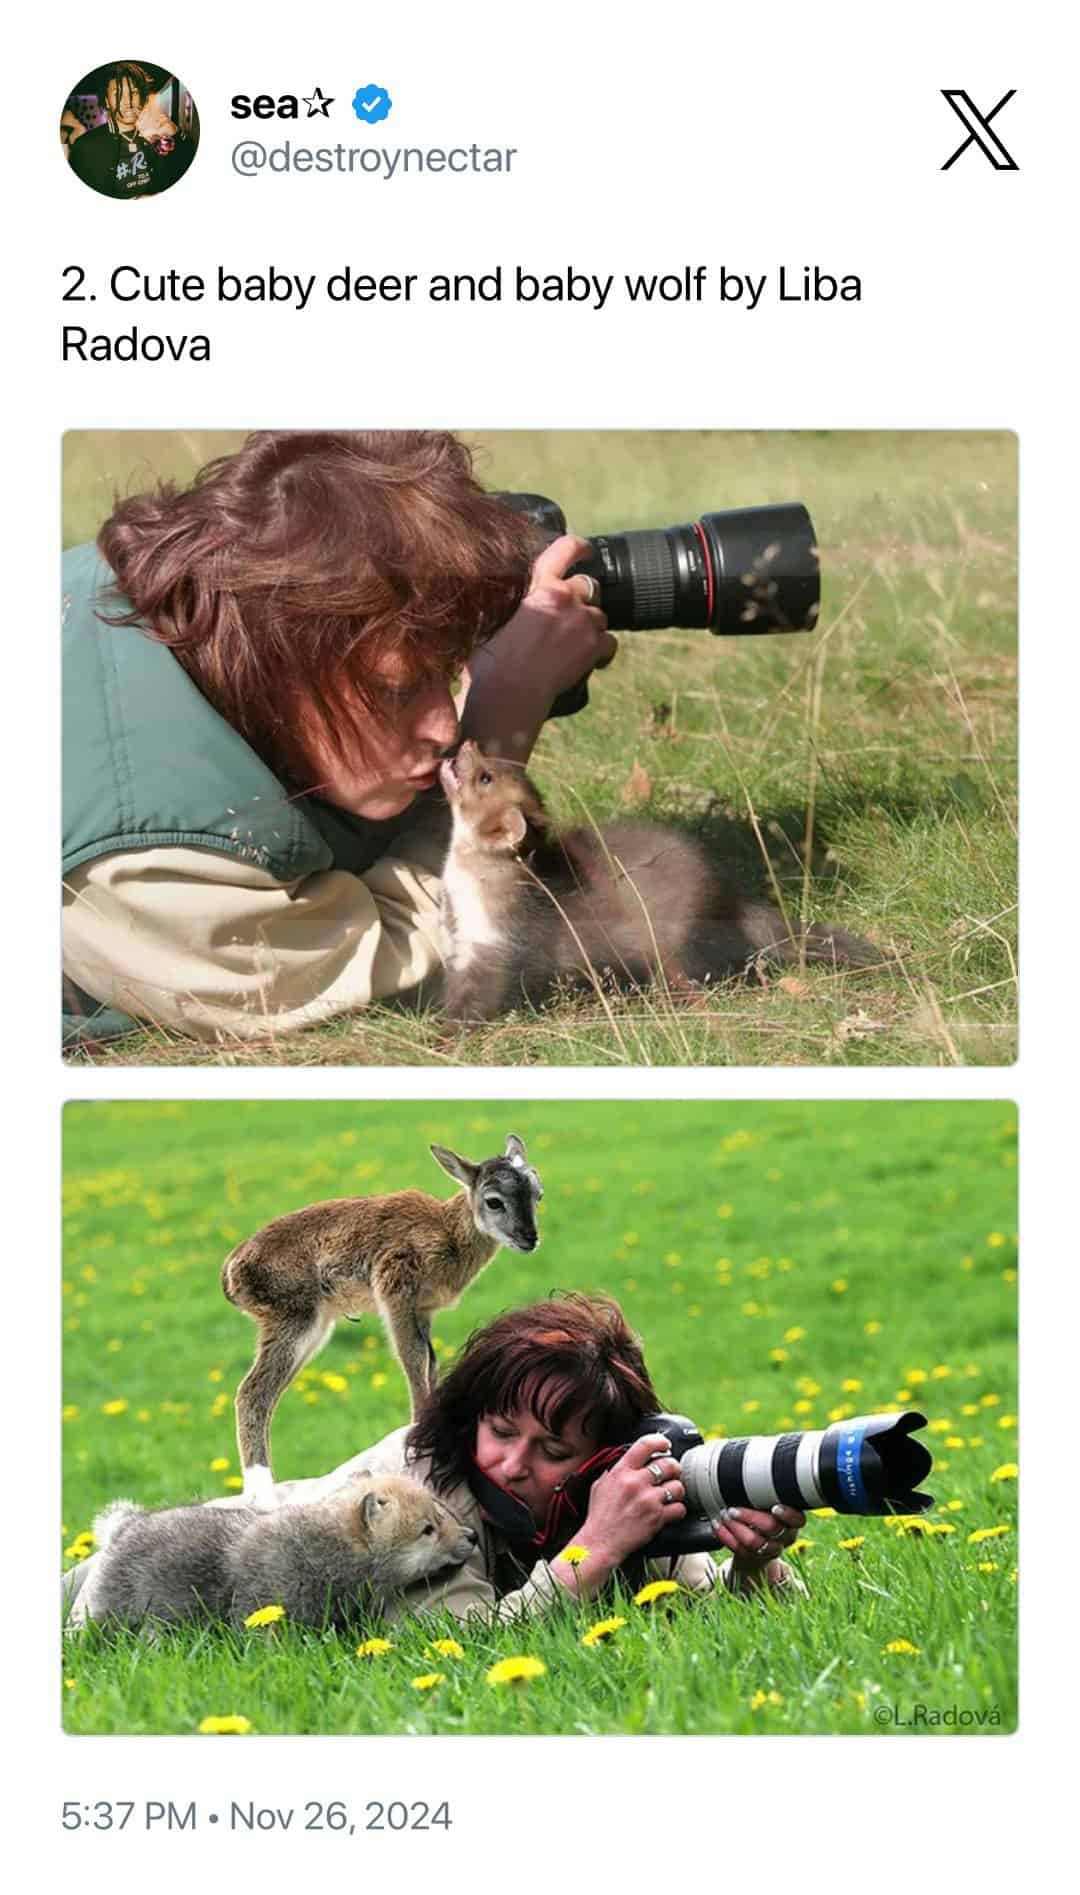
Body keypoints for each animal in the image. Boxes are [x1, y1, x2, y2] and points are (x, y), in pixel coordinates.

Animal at [222, 1135, 543, 1505]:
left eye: (537, 1194)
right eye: (493, 1201)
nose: (529, 1238)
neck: (447, 1233)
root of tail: (232, 1269)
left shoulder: (423, 1310)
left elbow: (430, 1362)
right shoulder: (396, 1289)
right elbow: (413, 1359)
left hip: (312, 1328)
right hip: (294, 1317)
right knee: (252, 1391)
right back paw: (262, 1495)